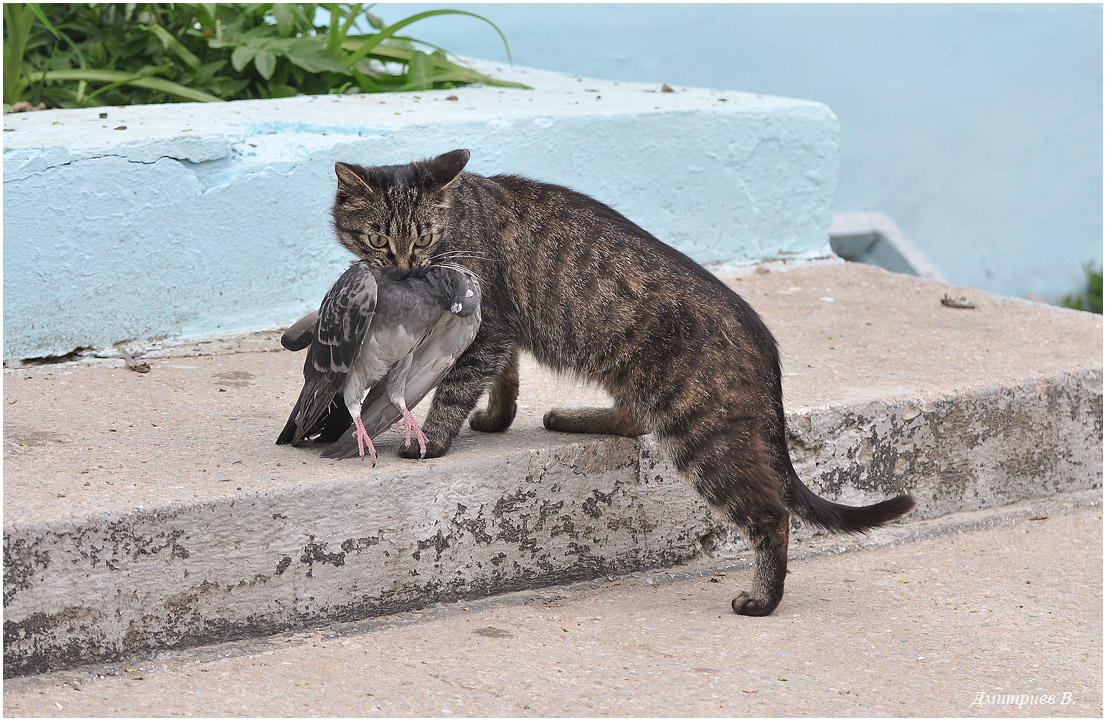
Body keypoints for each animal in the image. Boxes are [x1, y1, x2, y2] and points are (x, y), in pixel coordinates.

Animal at [327, 148, 915, 614]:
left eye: (423, 237)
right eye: (379, 239)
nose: (405, 268)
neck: (461, 214)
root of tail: (762, 337)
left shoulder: (488, 324)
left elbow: (457, 389)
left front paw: (431, 439)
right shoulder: (502, 333)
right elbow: (505, 380)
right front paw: (497, 418)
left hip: (702, 435)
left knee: (771, 515)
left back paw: (762, 600)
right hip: (632, 376)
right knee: (634, 423)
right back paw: (572, 417)